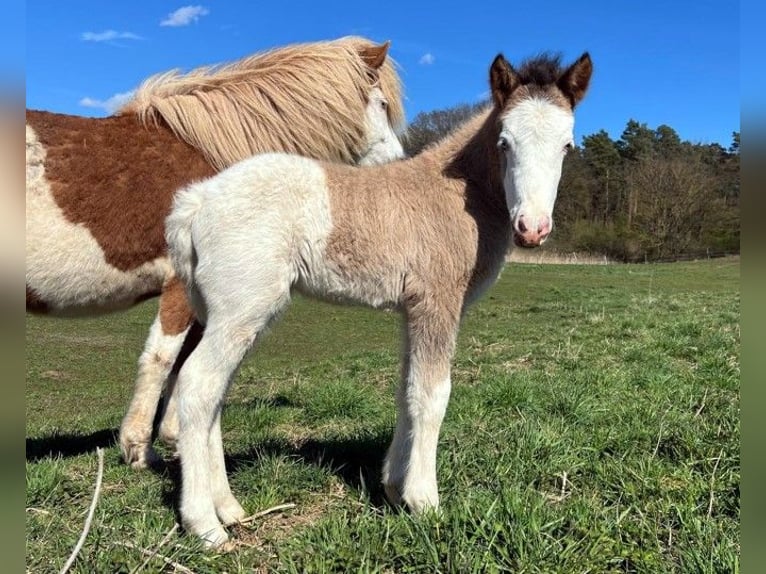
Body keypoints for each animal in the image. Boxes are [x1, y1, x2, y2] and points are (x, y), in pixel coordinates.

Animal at [25, 36, 407, 470]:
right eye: (381, 104)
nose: (397, 167)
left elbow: (185, 361)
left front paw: (175, 437)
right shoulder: (179, 286)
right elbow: (162, 358)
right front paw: (139, 448)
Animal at [165, 50, 593, 546]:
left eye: (567, 146)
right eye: (505, 142)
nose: (533, 229)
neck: (454, 195)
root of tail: (196, 200)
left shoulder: (412, 309)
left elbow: (406, 390)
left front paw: (392, 488)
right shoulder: (437, 303)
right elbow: (432, 394)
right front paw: (426, 502)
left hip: (221, 314)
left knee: (213, 392)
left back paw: (229, 508)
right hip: (242, 309)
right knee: (197, 385)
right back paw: (204, 525)